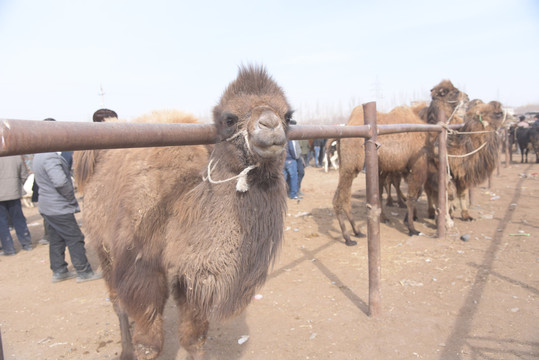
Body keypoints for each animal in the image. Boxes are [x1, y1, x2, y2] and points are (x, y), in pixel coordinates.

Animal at [74, 65, 294, 360]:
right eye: (229, 118)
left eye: (289, 116)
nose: (270, 126)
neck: (178, 211)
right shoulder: (141, 268)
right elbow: (150, 343)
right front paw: (138, 347)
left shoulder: (191, 278)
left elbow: (194, 339)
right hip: (102, 245)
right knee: (117, 302)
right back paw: (125, 349)